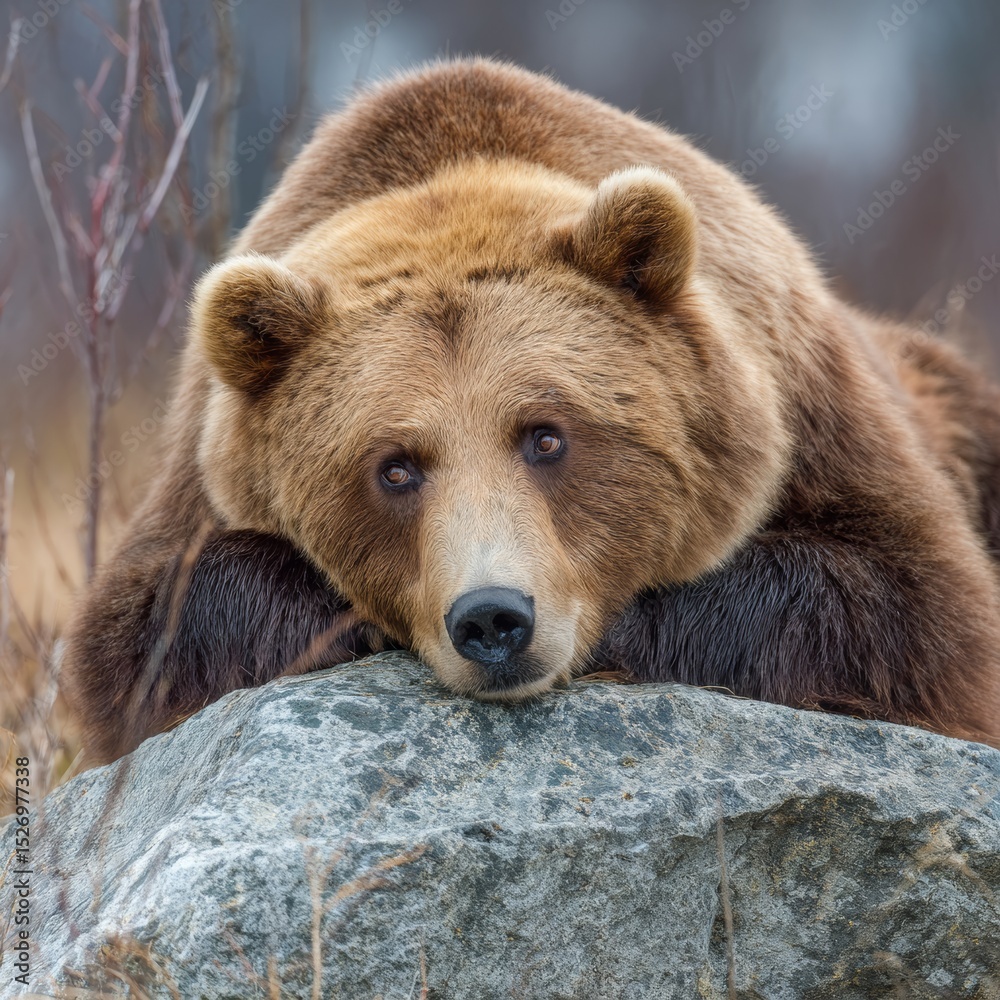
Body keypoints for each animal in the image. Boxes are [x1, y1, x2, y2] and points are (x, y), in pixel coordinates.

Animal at [60, 58, 1000, 765]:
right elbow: (145, 627)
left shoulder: (813, 412)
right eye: (394, 466)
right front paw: (342, 623)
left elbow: (918, 609)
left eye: (547, 435)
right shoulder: (197, 470)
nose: (492, 619)